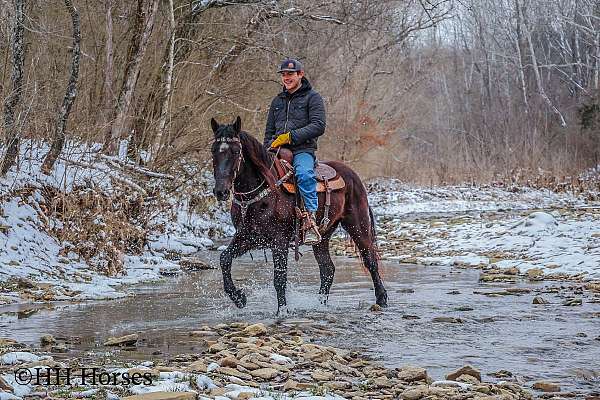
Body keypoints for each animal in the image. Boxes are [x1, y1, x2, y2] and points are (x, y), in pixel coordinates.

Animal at [211, 115, 390, 312]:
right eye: (213, 151)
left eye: (236, 151)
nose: (220, 191)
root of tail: (352, 174)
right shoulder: (248, 236)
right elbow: (224, 258)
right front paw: (239, 298)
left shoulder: (279, 240)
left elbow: (279, 278)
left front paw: (282, 311)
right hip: (322, 236)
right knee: (328, 269)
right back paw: (321, 304)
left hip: (357, 225)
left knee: (370, 259)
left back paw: (381, 299)